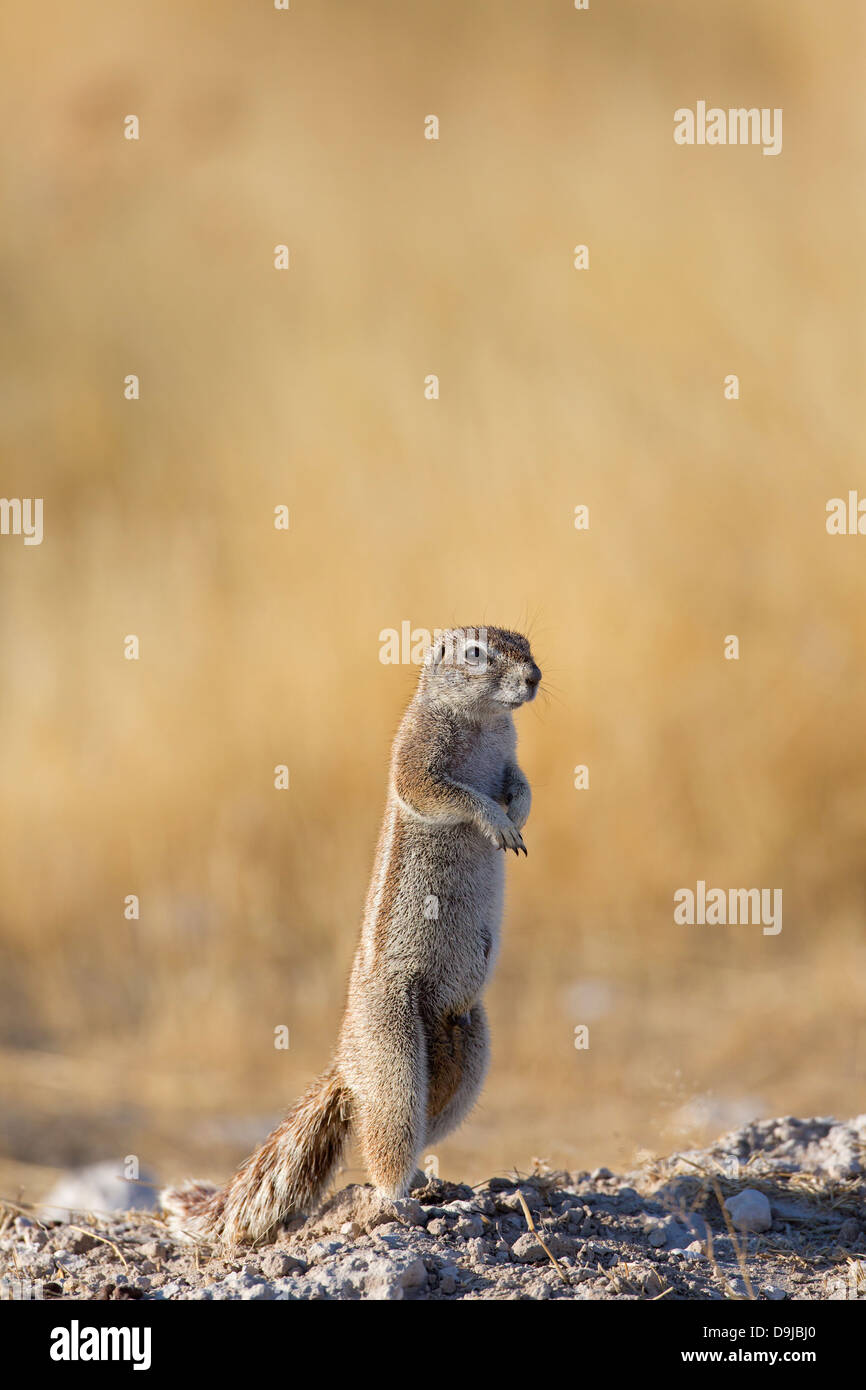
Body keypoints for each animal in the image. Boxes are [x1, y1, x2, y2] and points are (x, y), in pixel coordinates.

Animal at [161, 625, 542, 1245]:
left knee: (420, 1122)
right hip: (394, 1050)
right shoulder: (417, 756)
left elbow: (520, 782)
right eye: (476, 654)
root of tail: (347, 1063)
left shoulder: (510, 758)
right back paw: (395, 1203)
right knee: (386, 1129)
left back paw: (432, 1184)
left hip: (468, 1051)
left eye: (528, 645)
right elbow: (444, 793)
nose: (534, 678)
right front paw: (496, 821)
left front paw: (521, 813)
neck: (484, 721)